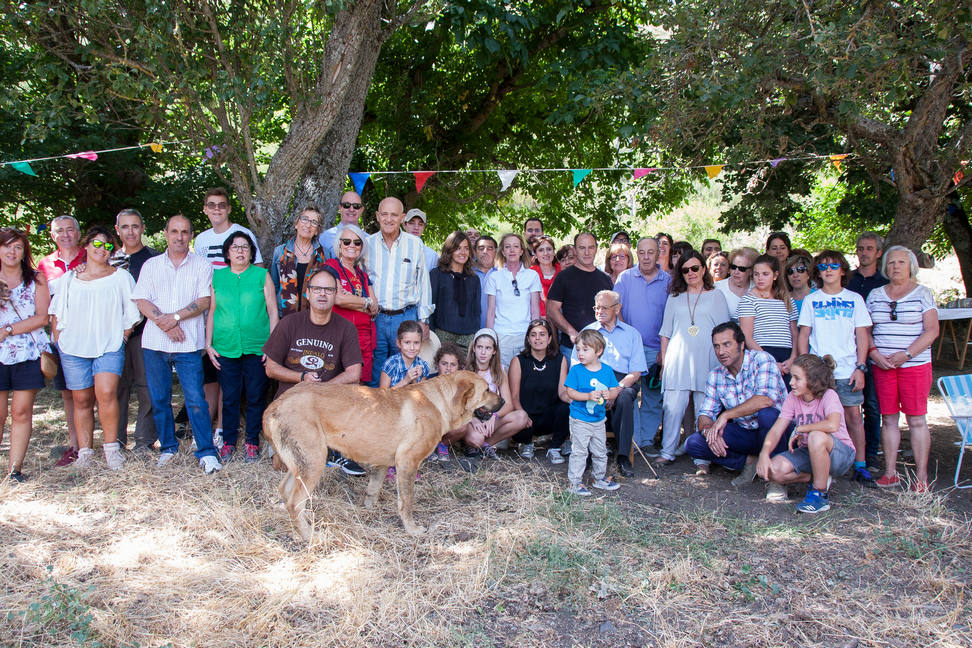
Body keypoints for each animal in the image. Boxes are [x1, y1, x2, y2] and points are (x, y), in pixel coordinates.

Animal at [262, 370, 504, 540]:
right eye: (487, 390)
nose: (503, 402)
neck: (439, 402)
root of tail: (274, 404)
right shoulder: (407, 463)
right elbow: (406, 501)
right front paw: (412, 529)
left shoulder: (381, 463)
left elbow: (373, 490)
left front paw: (368, 511)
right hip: (314, 461)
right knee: (295, 501)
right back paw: (310, 536)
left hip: (302, 464)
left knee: (286, 493)